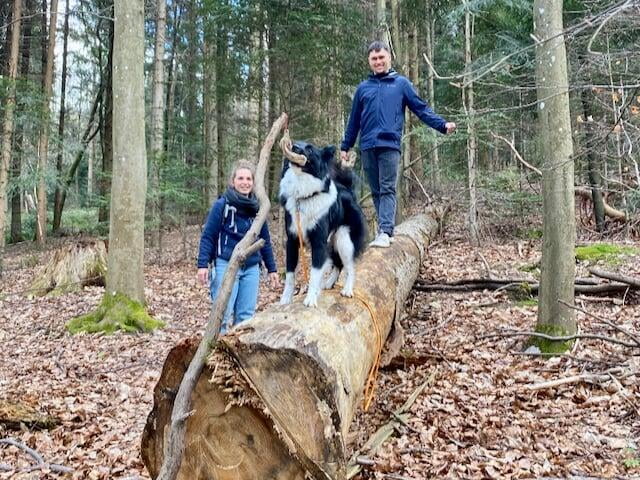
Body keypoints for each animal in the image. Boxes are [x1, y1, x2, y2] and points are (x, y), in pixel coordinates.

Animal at [278, 141, 368, 306]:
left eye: (310, 149)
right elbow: (290, 274)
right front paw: (285, 299)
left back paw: (347, 290)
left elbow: (314, 273)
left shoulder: (318, 242)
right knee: (337, 263)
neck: (304, 197)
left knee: (350, 266)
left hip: (344, 240)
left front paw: (311, 299)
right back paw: (328, 283)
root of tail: (349, 191)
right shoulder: (292, 241)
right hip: (332, 242)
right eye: (297, 143)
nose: (294, 147)